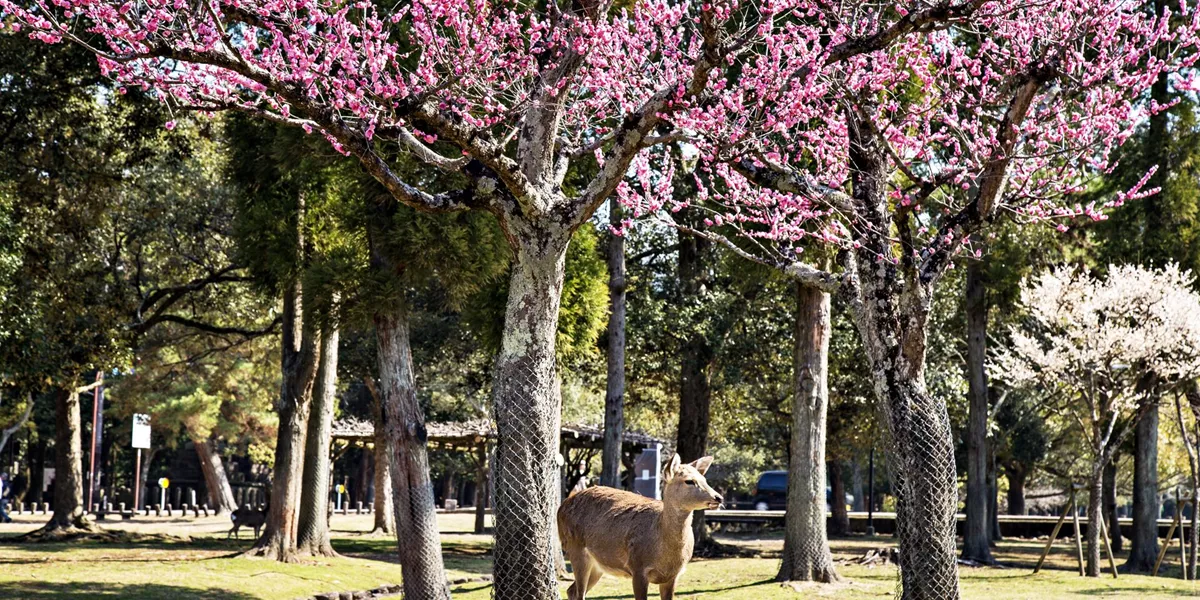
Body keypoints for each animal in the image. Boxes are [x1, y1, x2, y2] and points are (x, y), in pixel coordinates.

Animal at [557, 454, 723, 600]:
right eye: (689, 481)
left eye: (704, 479)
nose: (718, 497)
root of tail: (561, 508)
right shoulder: (637, 568)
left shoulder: (673, 576)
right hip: (576, 549)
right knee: (578, 592)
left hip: (598, 565)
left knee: (572, 590)